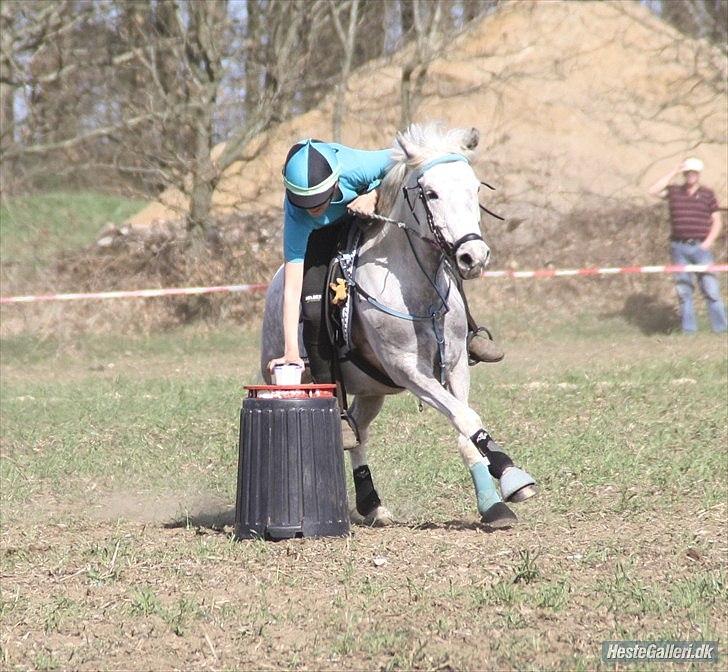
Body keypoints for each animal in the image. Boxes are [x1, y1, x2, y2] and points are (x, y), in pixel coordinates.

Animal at [260, 123, 536, 528]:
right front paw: (514, 477)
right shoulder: (408, 369)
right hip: (286, 371)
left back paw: (371, 502)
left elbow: (465, 428)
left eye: (474, 188)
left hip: (372, 390)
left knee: (359, 433)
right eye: (431, 193)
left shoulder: (455, 366)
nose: (473, 256)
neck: (416, 289)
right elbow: (465, 417)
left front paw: (493, 504)